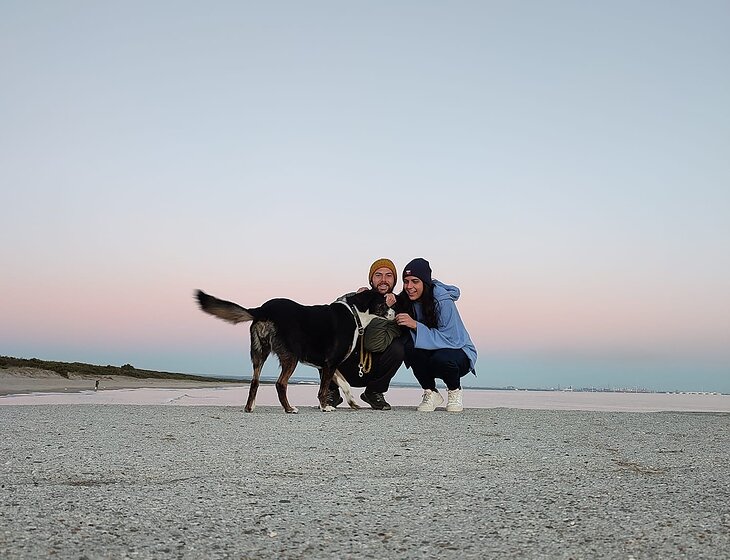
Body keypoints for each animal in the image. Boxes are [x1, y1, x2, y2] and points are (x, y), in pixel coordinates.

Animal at [195, 289, 392, 413]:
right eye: (383, 303)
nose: (393, 312)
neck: (354, 313)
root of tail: (262, 309)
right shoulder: (331, 362)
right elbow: (323, 389)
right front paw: (325, 407)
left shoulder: (326, 365)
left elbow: (345, 384)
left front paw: (353, 403)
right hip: (291, 357)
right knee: (280, 384)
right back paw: (289, 409)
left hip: (259, 353)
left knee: (254, 382)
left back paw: (250, 408)